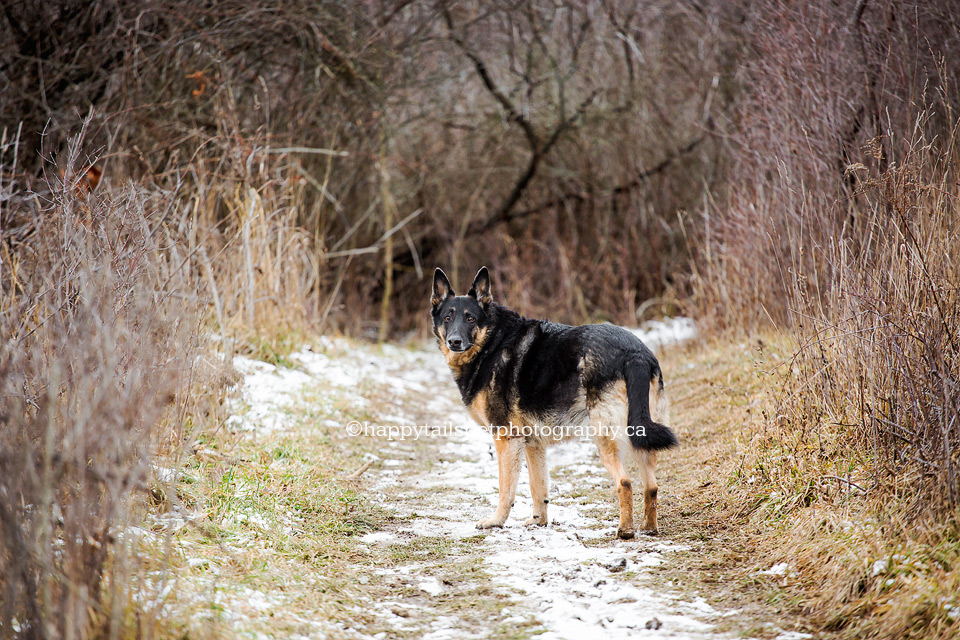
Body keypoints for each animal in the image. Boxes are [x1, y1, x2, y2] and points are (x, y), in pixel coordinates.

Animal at [432, 264, 680, 540]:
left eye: (470, 319)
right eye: (447, 318)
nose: (454, 341)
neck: (491, 343)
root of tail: (635, 354)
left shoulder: (506, 440)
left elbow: (506, 489)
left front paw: (496, 522)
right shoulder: (532, 445)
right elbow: (538, 487)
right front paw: (538, 522)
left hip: (606, 439)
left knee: (624, 483)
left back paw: (625, 530)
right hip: (640, 434)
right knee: (652, 486)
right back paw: (648, 528)